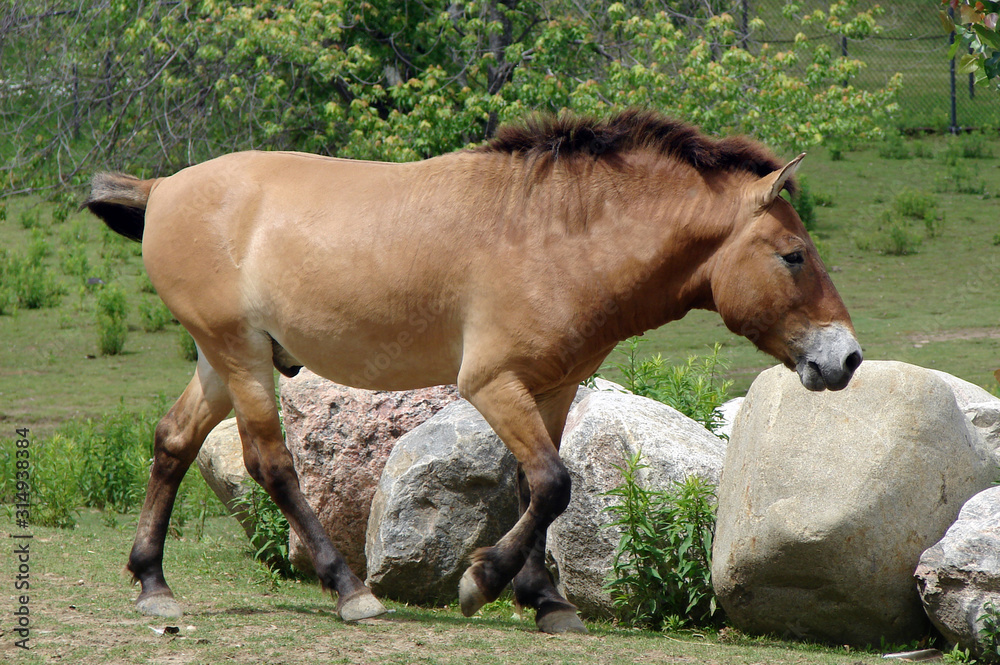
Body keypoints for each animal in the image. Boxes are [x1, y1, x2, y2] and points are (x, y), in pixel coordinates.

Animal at [84, 109, 862, 635]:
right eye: (793, 255)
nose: (847, 358)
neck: (556, 236)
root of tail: (162, 188)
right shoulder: (490, 384)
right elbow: (554, 482)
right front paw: (481, 581)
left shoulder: (551, 388)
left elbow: (537, 486)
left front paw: (546, 601)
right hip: (242, 358)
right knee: (270, 463)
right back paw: (350, 591)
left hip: (221, 361)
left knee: (173, 440)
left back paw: (152, 582)